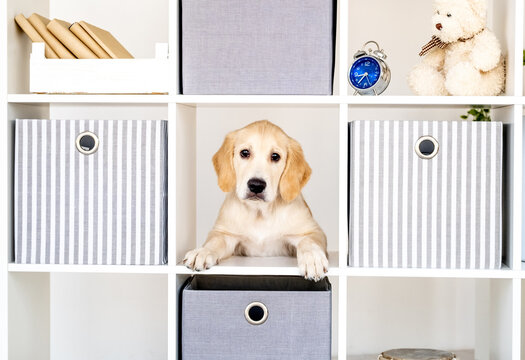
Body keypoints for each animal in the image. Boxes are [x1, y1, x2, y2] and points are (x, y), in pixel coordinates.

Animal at [182, 121, 326, 282]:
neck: (260, 212)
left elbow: (309, 242)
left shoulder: (313, 231)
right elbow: (214, 241)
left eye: (275, 156)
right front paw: (202, 251)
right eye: (245, 153)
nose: (256, 185)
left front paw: (313, 258)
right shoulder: (225, 234)